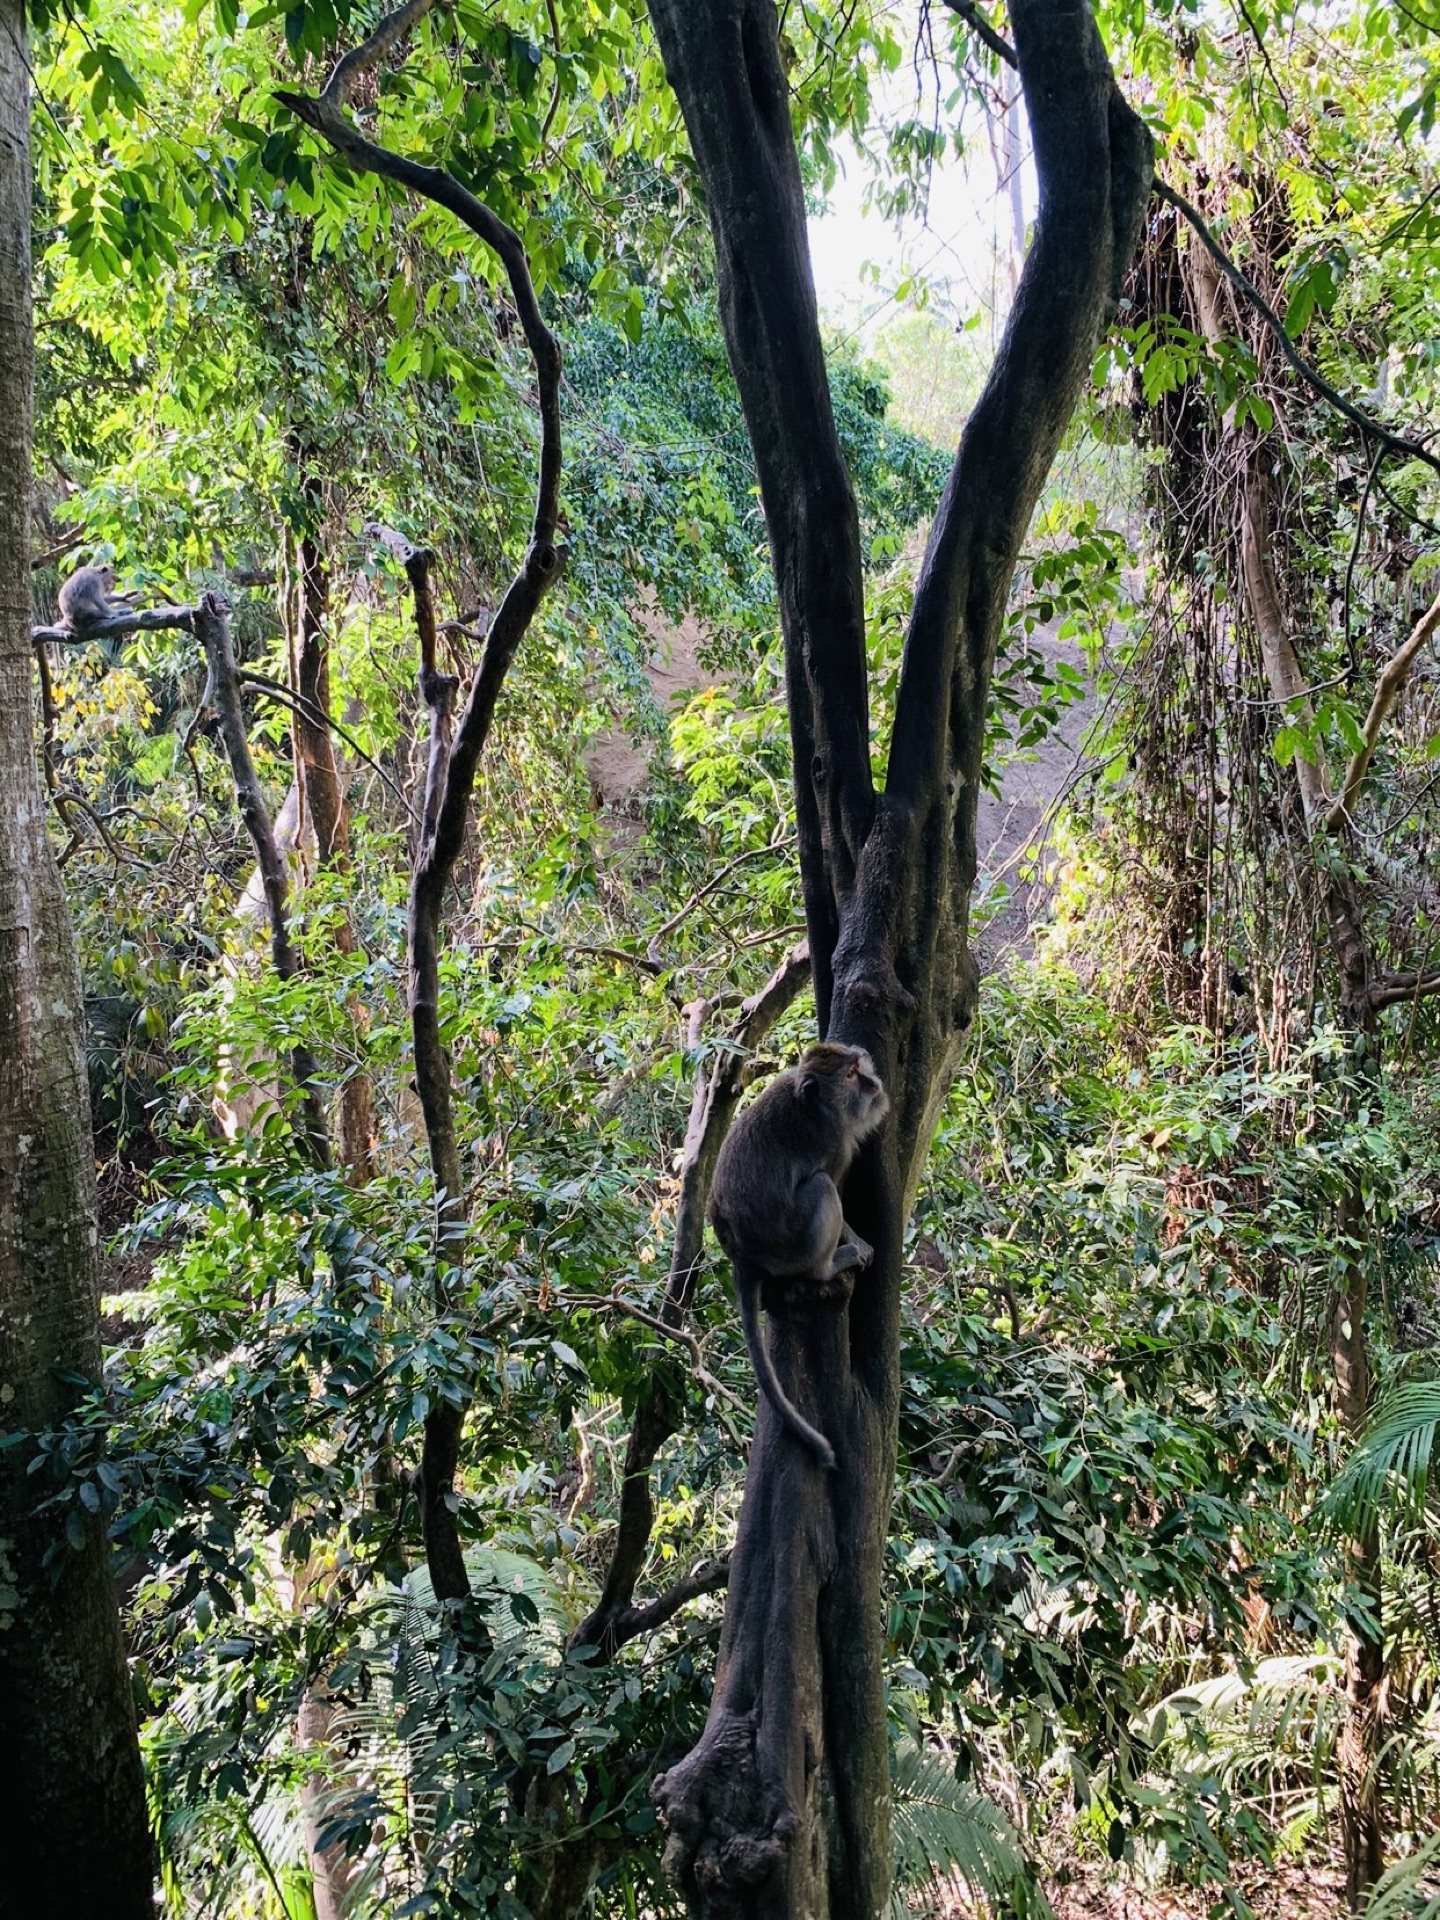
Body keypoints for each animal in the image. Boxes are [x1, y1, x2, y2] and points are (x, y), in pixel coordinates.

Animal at [710, 1044, 890, 1459]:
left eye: (860, 1066)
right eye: (850, 1076)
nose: (873, 1084)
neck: (818, 1106)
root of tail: (742, 1254)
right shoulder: (835, 1140)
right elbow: (833, 1182)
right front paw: (856, 1242)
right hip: (790, 1245)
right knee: (821, 1186)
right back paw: (830, 1266)